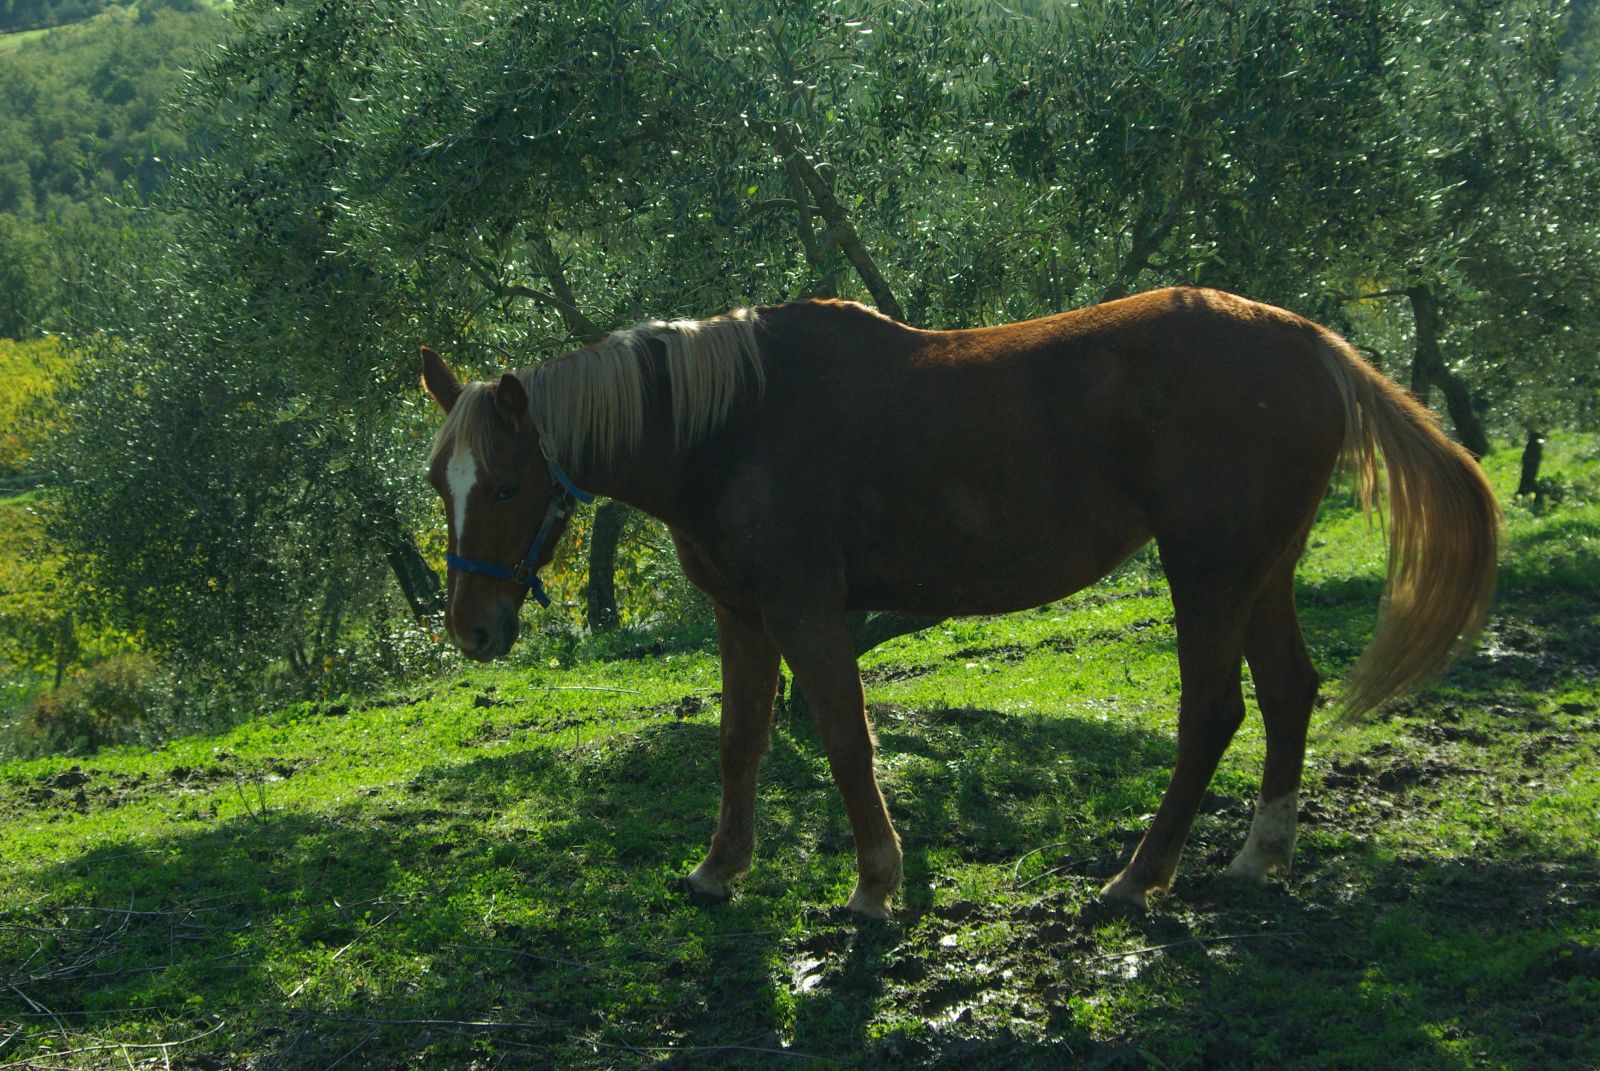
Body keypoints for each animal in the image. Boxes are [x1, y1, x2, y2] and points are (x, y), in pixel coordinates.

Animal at [422, 288, 1497, 915]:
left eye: (506, 486)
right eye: (442, 481)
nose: (472, 629)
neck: (732, 422)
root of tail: (1311, 343)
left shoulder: (806, 609)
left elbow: (844, 736)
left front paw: (875, 880)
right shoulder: (744, 615)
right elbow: (739, 740)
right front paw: (721, 867)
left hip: (1210, 571)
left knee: (1213, 711)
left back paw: (1136, 877)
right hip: (1259, 570)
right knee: (1285, 694)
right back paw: (1258, 852)